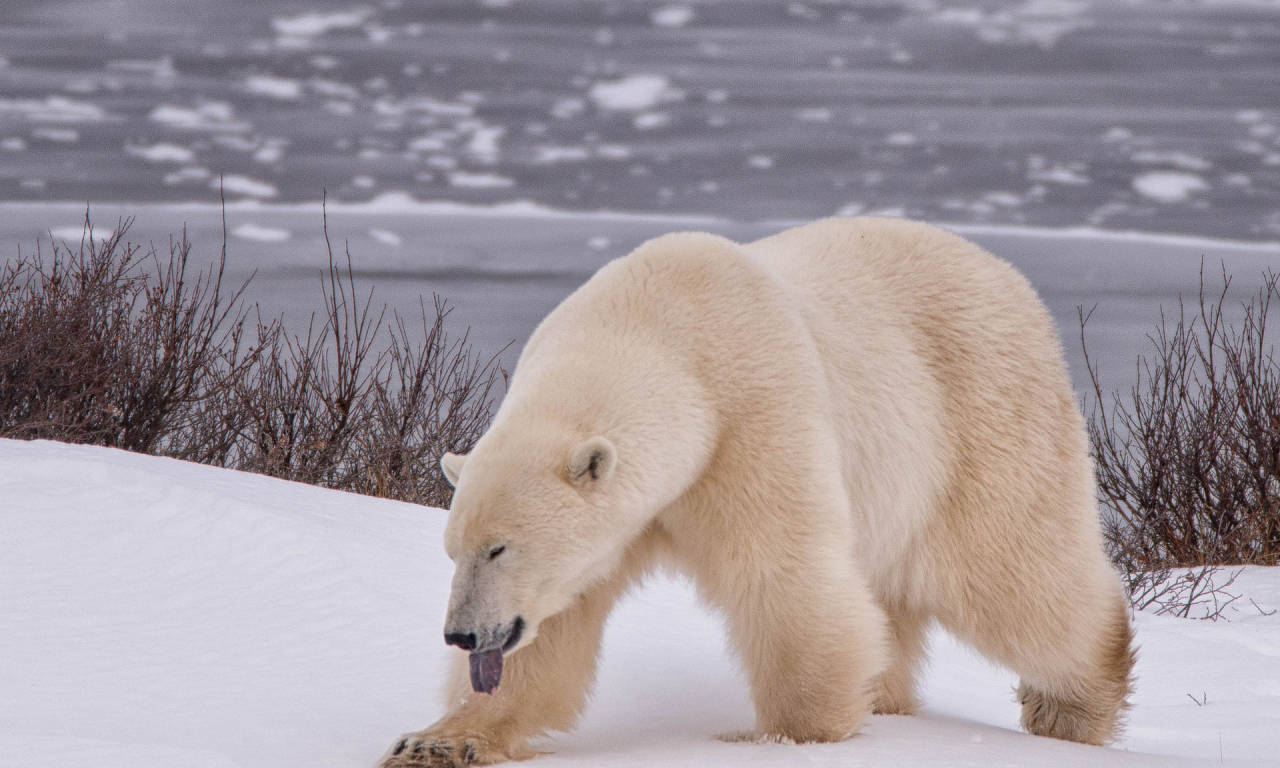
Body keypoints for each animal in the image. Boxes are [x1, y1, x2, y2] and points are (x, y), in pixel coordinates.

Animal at [376, 217, 1131, 768]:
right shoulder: (619, 523)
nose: (462, 633)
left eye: (499, 548)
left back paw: (1074, 704)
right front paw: (434, 740)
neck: (658, 327)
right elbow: (554, 626)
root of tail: (1005, 273)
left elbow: (780, 572)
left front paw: (786, 735)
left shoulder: (749, 415)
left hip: (979, 417)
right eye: (454, 550)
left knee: (1009, 571)